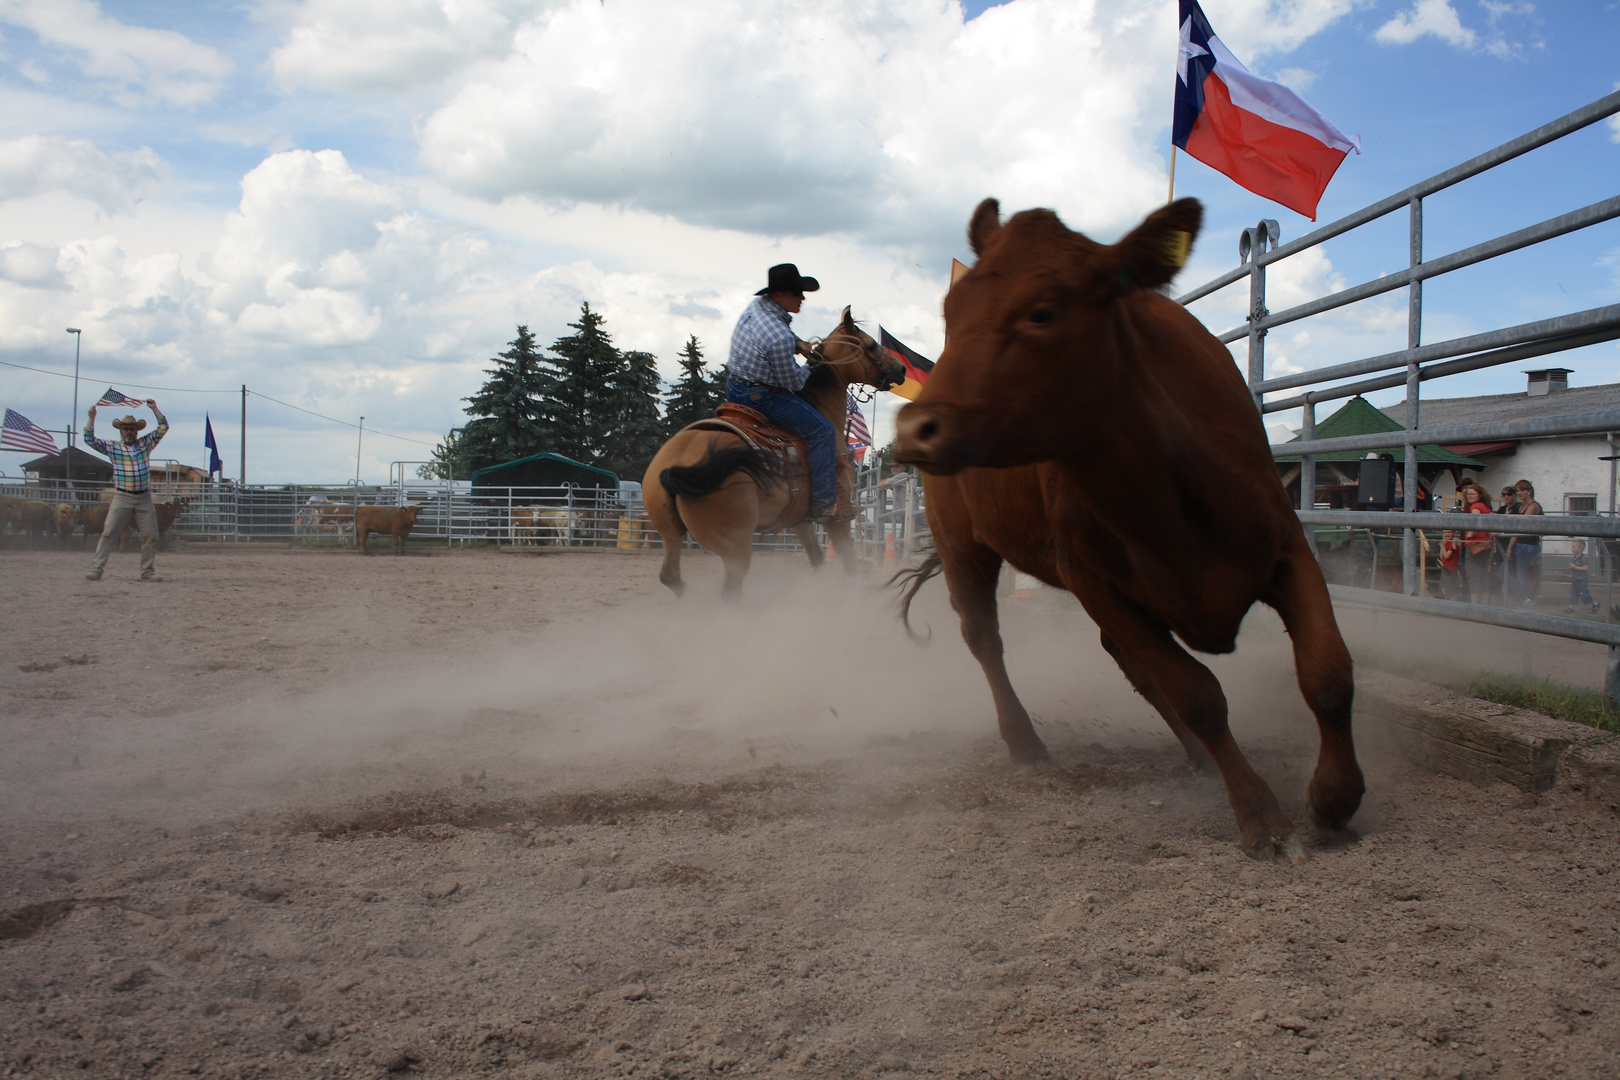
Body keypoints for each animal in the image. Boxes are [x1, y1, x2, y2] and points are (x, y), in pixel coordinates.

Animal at [641, 307, 907, 605]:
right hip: (735, 545)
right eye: (871, 345)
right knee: (729, 592)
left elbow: (817, 560)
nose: (901, 369)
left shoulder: (800, 519)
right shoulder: (839, 514)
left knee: (670, 576)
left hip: (669, 533)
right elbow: (849, 564)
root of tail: (674, 464)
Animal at [894, 200, 1360, 861]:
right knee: (985, 639)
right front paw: (1259, 814)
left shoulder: (1287, 550)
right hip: (964, 544)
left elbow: (1328, 674)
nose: (916, 428)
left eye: (1044, 311)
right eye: (952, 313)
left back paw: (1195, 758)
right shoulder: (1092, 580)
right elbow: (1199, 693)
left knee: (1129, 662)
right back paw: (1025, 742)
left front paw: (1336, 800)